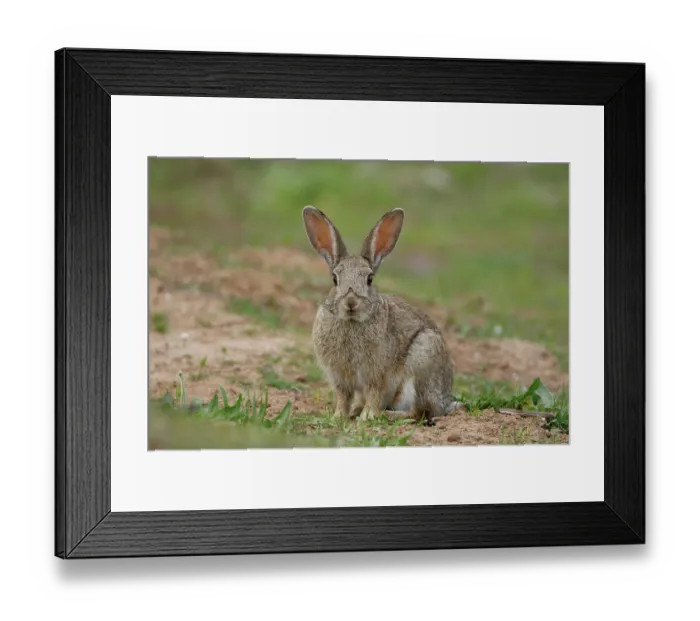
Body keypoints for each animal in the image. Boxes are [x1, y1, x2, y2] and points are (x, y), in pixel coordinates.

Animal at [302, 205, 461, 426]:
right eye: (335, 279)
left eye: (369, 279)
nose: (351, 303)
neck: (351, 321)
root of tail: (445, 402)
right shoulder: (339, 378)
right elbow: (343, 397)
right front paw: (338, 416)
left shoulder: (377, 375)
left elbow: (374, 394)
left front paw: (368, 417)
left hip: (422, 364)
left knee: (420, 412)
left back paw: (386, 414)